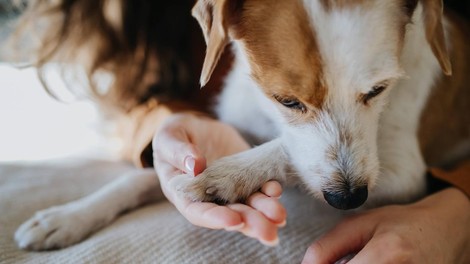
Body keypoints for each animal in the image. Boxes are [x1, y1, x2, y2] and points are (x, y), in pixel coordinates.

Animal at [15, 0, 470, 251]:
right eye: (287, 100)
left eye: (378, 90)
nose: (349, 199)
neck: (270, 119)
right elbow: (144, 177)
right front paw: (69, 216)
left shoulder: (404, 175)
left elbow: (286, 154)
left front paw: (230, 175)